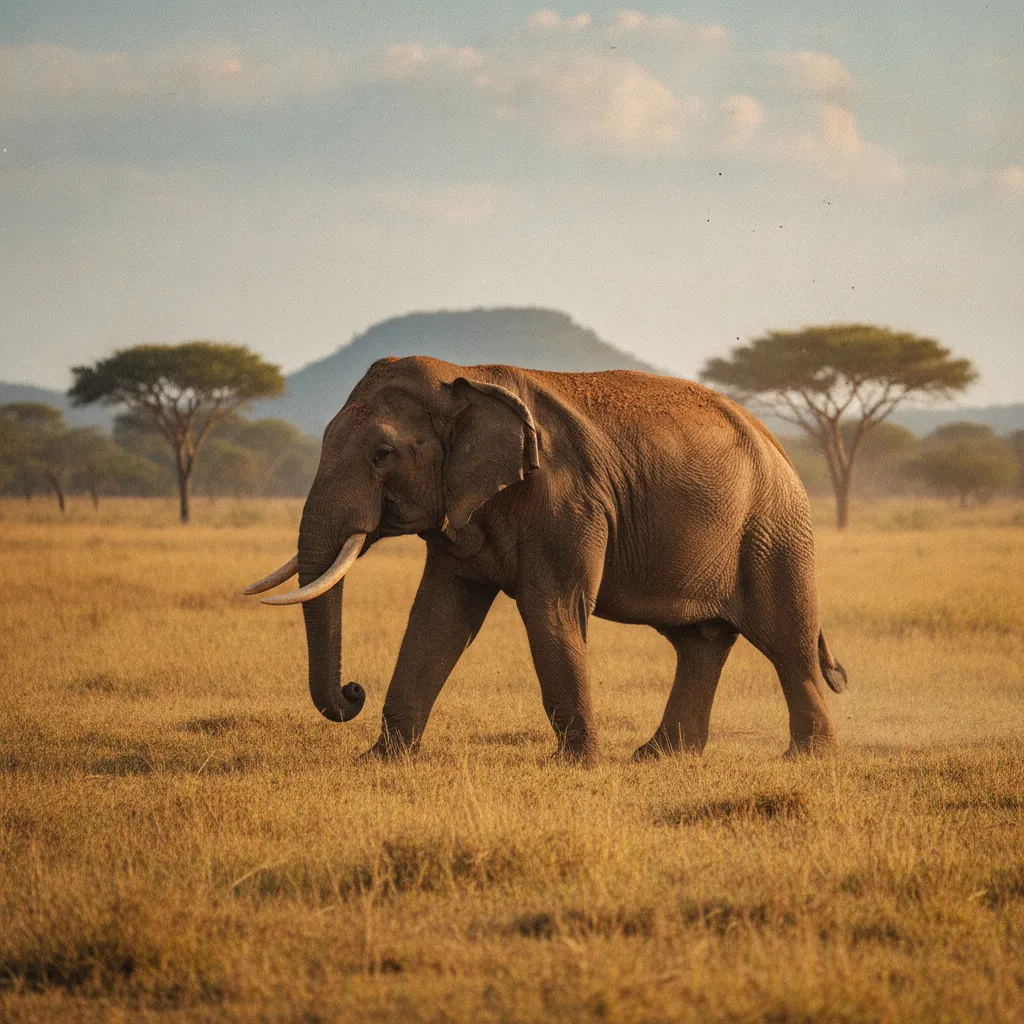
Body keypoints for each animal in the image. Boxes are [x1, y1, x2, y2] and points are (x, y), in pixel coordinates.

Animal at [244, 356, 847, 764]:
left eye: (382, 454)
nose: (353, 692)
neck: (463, 377)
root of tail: (775, 441)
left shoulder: (567, 501)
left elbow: (550, 610)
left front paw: (576, 766)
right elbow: (439, 617)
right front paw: (380, 761)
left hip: (774, 529)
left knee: (786, 642)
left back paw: (805, 759)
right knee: (699, 641)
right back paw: (659, 757)